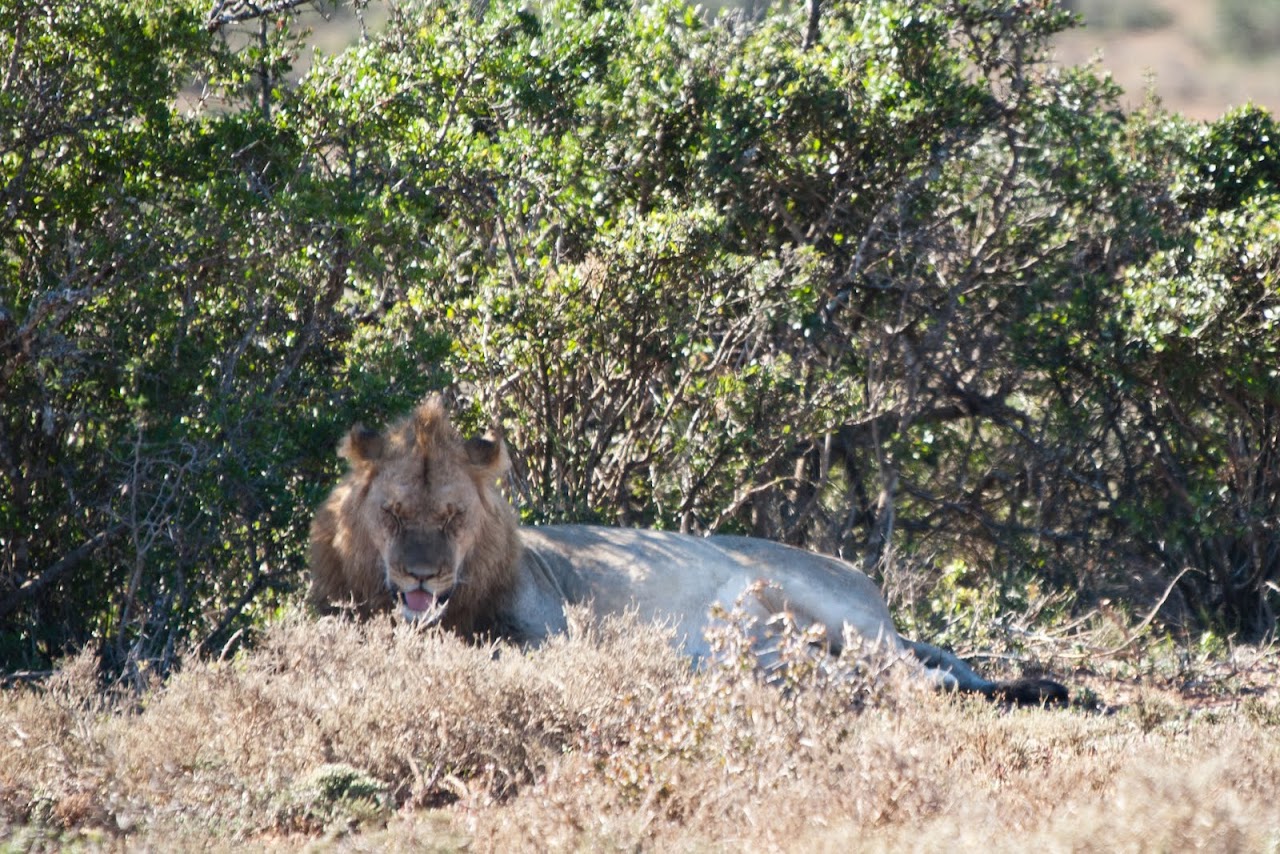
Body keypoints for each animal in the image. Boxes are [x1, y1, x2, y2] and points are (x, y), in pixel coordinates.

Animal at [308, 396, 1068, 706]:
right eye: (394, 512)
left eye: (454, 515)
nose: (422, 573)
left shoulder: (553, 635)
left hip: (826, 608)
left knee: (911, 675)